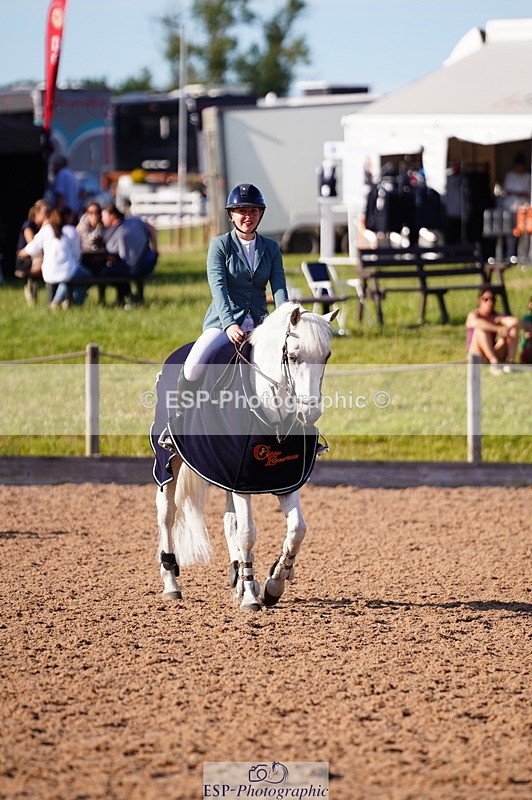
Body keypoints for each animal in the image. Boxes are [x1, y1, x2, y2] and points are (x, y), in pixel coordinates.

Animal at [152, 302, 338, 612]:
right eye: (293, 356)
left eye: (326, 356)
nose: (310, 413)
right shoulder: (242, 481)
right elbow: (248, 533)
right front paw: (252, 596)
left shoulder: (283, 480)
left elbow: (297, 530)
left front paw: (274, 583)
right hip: (170, 462)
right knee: (167, 513)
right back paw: (171, 585)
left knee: (229, 520)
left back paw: (238, 577)